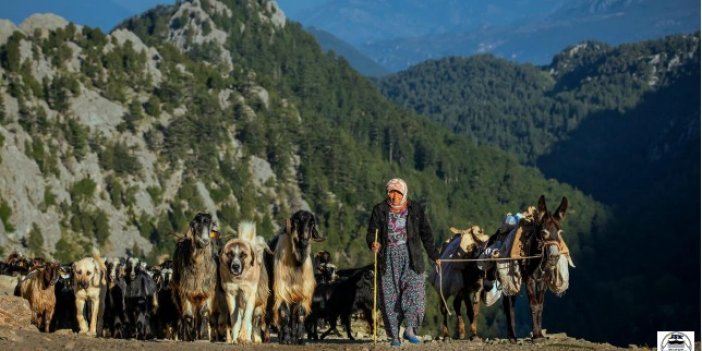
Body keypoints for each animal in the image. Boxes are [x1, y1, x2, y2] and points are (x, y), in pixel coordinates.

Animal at [274, 210, 326, 346]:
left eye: (312, 223)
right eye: (297, 221)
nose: (305, 240)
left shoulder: (302, 292)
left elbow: (299, 315)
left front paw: (299, 339)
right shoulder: (282, 290)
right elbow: (284, 314)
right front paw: (287, 339)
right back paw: (283, 337)